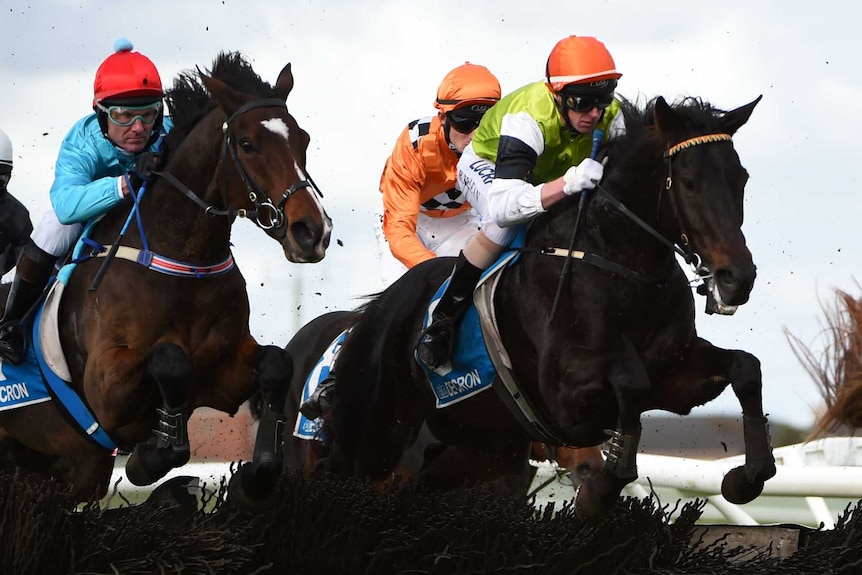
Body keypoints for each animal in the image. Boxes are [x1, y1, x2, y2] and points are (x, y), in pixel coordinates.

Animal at [0, 53, 330, 504]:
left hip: (64, 468)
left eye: (304, 140)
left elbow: (277, 362)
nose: (312, 232)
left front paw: (258, 469)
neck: (182, 261)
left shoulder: (224, 373)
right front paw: (150, 457)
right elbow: (171, 360)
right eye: (247, 144)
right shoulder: (105, 393)